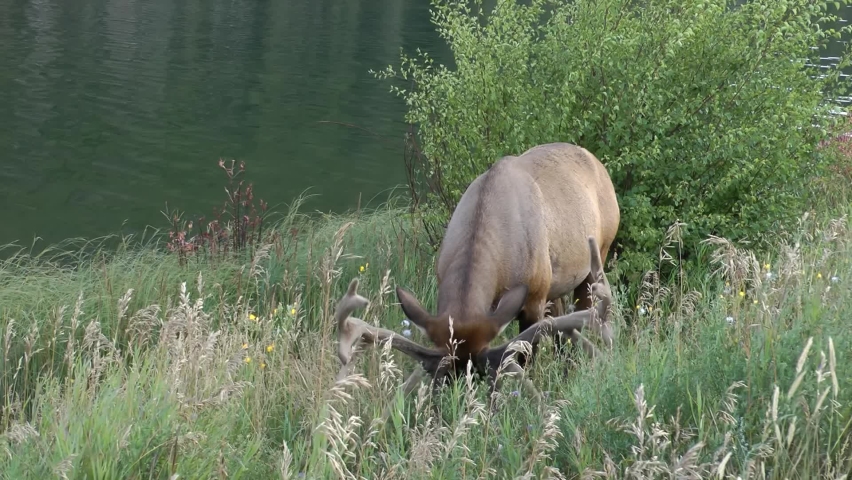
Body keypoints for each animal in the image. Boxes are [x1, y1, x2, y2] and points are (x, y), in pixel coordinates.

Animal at [334, 142, 620, 400]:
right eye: (441, 381)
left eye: (483, 376)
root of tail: (599, 164)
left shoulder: (534, 296)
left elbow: (526, 356)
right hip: (555, 285)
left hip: (597, 256)